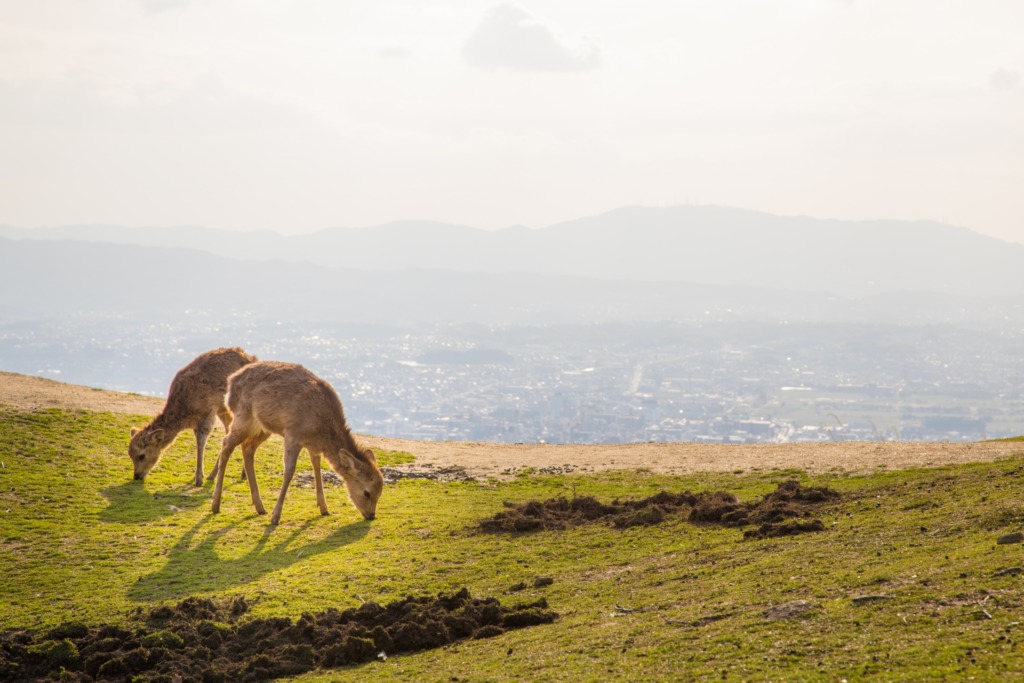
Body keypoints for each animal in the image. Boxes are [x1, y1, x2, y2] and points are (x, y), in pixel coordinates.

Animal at [128, 348, 258, 485]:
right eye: (130, 454)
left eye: (141, 455)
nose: (137, 476)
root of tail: (254, 358)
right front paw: (198, 476)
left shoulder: (207, 413)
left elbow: (200, 442)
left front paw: (198, 479)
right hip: (224, 410)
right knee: (230, 431)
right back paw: (220, 475)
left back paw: (237, 474)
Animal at [210, 360, 385, 528]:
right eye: (367, 492)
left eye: (380, 492)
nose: (371, 515)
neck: (321, 429)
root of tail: (231, 381)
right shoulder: (293, 435)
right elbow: (289, 471)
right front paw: (276, 517)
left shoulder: (312, 445)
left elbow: (316, 467)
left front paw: (324, 508)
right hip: (243, 416)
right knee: (226, 443)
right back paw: (216, 504)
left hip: (262, 427)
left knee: (247, 448)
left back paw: (260, 507)